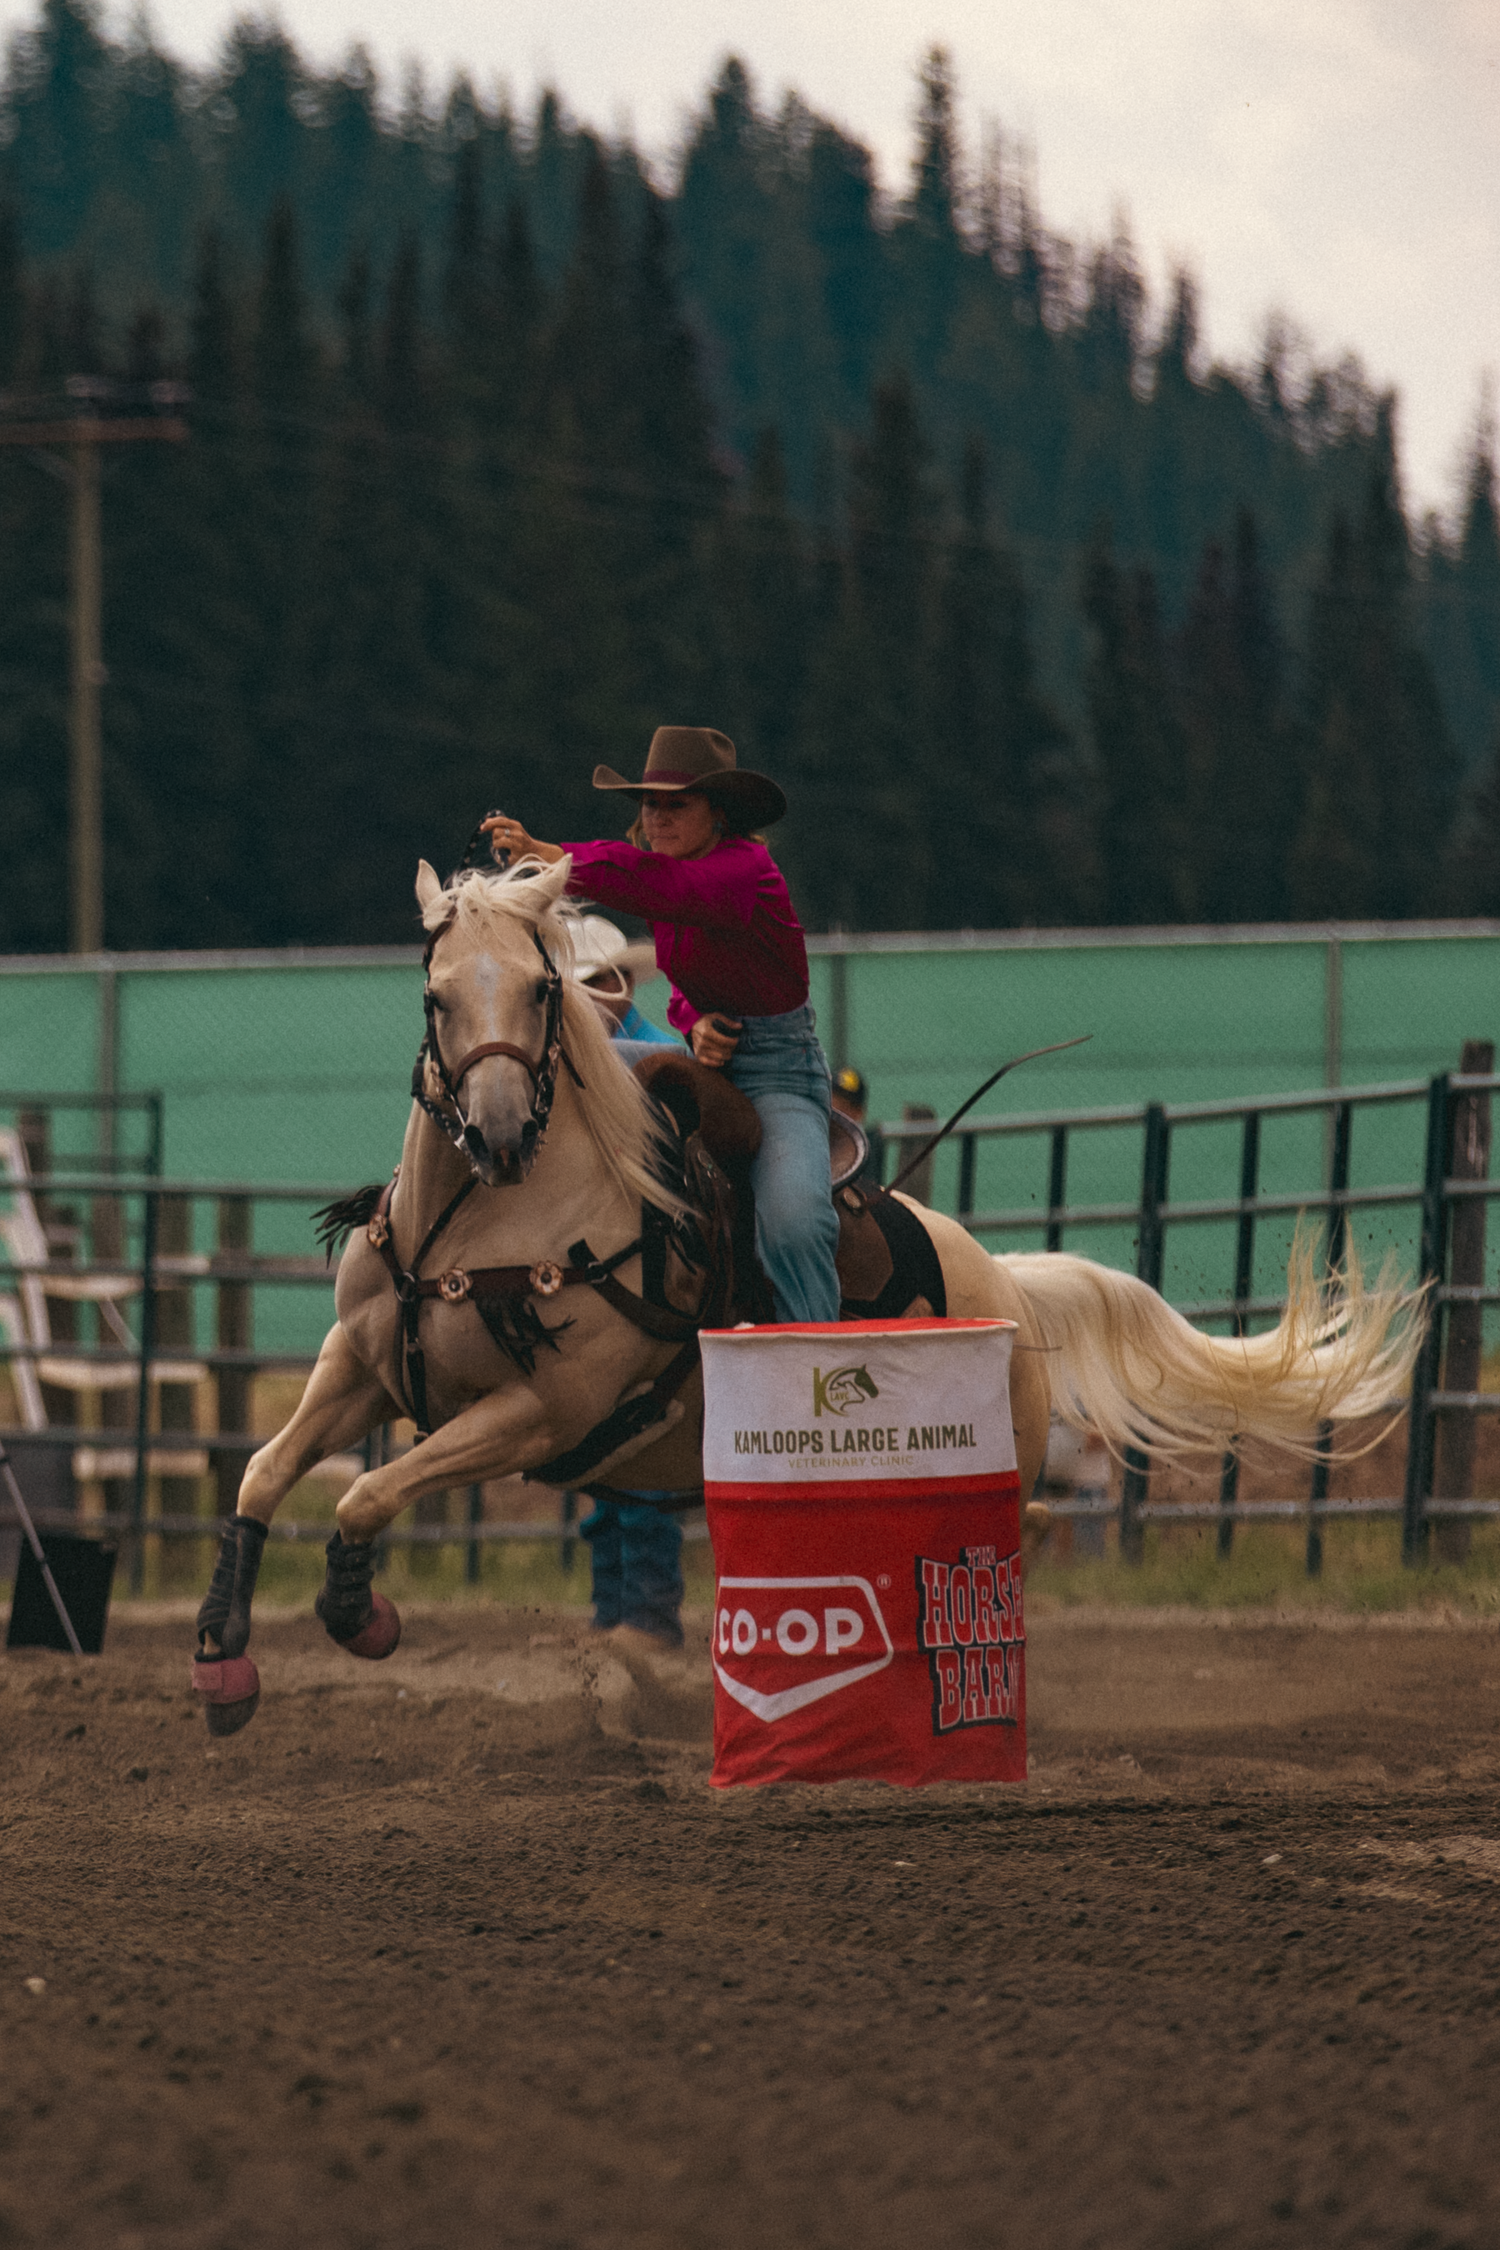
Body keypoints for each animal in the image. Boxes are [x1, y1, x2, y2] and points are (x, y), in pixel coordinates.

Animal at [190, 856, 1424, 1733]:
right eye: (436, 994)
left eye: (541, 990)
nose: (494, 1134)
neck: (488, 1225)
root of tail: (1007, 1286)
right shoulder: (358, 1365)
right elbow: (263, 1475)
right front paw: (221, 1660)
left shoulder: (536, 1414)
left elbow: (365, 1494)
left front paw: (362, 1617)